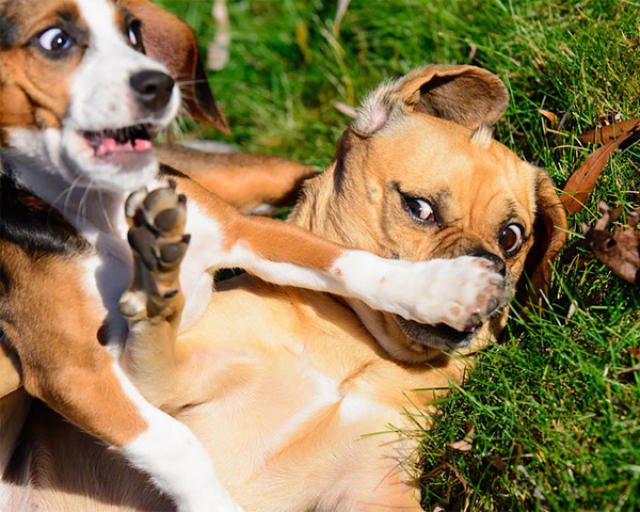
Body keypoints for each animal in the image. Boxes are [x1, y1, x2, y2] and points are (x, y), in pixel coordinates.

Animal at [0, 0, 508, 508]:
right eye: (55, 41)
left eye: (131, 31)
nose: (159, 85)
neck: (98, 209)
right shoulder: (72, 371)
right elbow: (175, 442)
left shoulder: (245, 233)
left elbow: (350, 263)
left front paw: (444, 288)